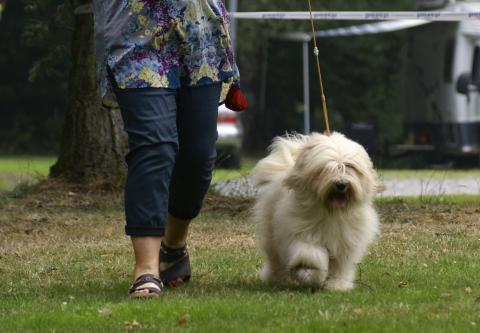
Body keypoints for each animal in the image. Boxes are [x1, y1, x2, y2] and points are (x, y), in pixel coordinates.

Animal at [253, 131, 380, 290]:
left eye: (349, 166)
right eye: (326, 168)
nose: (341, 184)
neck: (331, 212)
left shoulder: (345, 244)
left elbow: (339, 267)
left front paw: (336, 285)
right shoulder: (303, 234)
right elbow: (311, 255)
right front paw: (310, 274)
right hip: (272, 235)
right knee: (275, 259)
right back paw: (276, 278)